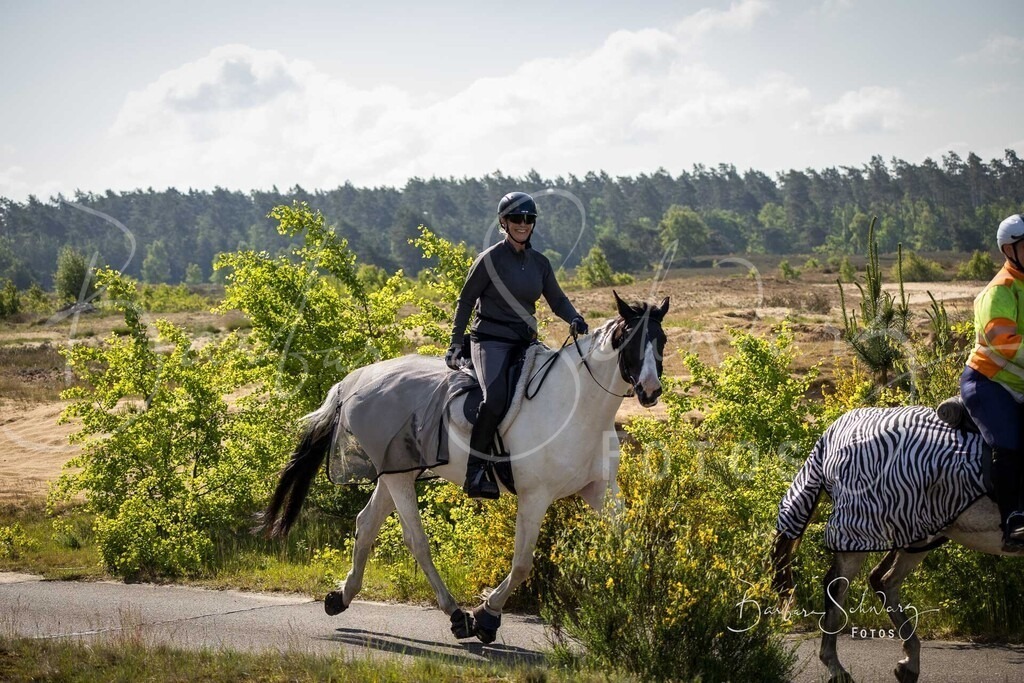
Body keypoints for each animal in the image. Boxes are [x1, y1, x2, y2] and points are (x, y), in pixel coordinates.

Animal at [260, 292, 670, 643]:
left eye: (661, 340)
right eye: (631, 341)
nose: (650, 390)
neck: (577, 405)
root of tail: (355, 380)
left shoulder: (600, 489)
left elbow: (632, 547)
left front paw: (653, 618)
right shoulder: (535, 497)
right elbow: (522, 564)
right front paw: (486, 616)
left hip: (399, 472)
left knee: (367, 524)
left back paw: (340, 597)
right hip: (398, 477)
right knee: (416, 541)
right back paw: (457, 616)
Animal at [770, 404, 1021, 683]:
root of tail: (833, 432)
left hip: (916, 532)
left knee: (883, 579)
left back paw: (909, 663)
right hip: (862, 528)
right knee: (837, 586)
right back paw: (837, 667)